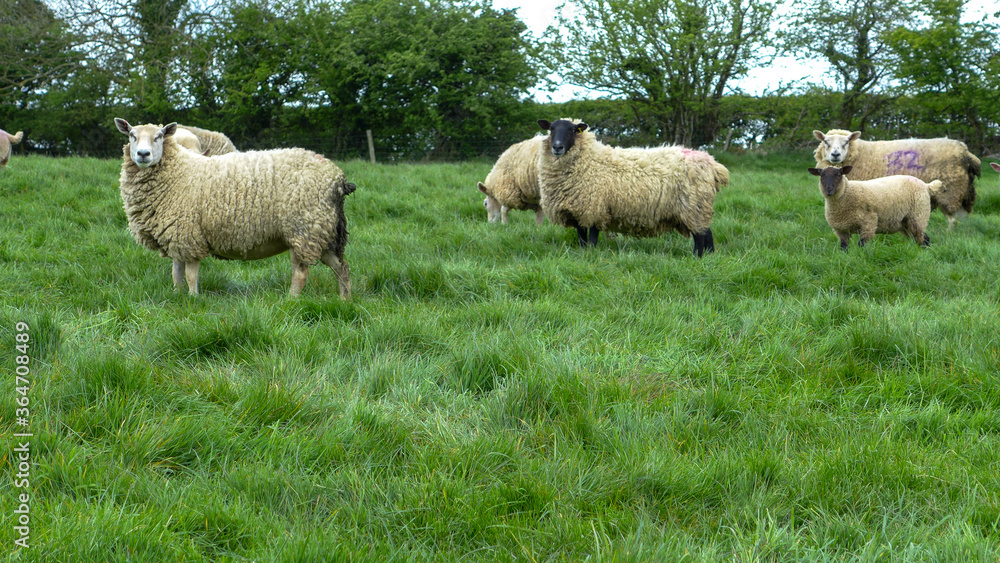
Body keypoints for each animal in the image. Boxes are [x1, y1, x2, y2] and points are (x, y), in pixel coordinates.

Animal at [114, 118, 353, 298]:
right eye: (132, 135)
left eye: (159, 136)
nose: (143, 154)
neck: (179, 170)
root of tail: (337, 177)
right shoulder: (176, 236)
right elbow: (176, 273)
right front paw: (177, 296)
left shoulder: (189, 236)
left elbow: (190, 275)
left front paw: (193, 299)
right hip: (322, 230)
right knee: (341, 267)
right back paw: (345, 300)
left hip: (303, 229)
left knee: (301, 272)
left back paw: (291, 300)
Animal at [536, 118, 728, 256]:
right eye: (551, 129)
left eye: (573, 130)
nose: (557, 147)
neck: (589, 159)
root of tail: (710, 162)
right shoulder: (579, 210)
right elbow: (581, 237)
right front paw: (583, 254)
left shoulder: (596, 207)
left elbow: (592, 237)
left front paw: (591, 254)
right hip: (697, 207)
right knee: (706, 234)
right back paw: (709, 258)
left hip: (694, 206)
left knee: (701, 236)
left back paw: (697, 257)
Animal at [807, 165, 940, 250]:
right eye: (821, 175)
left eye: (839, 174)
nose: (829, 189)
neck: (847, 193)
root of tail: (926, 185)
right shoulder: (841, 230)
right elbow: (843, 248)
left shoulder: (868, 222)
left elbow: (862, 245)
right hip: (905, 222)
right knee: (920, 238)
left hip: (918, 215)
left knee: (924, 238)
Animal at [813, 129, 981, 229]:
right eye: (826, 142)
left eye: (846, 142)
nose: (835, 155)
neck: (859, 154)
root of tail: (965, 152)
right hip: (963, 191)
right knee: (962, 217)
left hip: (951, 190)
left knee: (953, 219)